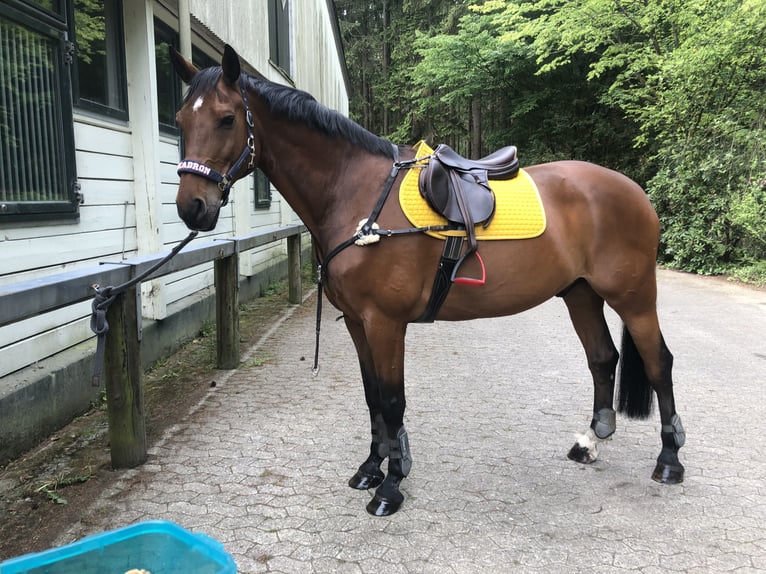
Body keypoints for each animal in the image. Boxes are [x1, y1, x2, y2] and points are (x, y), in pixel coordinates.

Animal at [172, 47, 684, 520]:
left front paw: (391, 486)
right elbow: (372, 396)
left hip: (634, 297)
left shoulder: (385, 323)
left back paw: (669, 461)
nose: (192, 207)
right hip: (580, 294)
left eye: (226, 119)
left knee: (658, 363)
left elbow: (392, 400)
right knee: (602, 359)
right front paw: (371, 468)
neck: (356, 195)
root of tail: (633, 190)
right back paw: (591, 442)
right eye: (180, 119)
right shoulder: (357, 322)